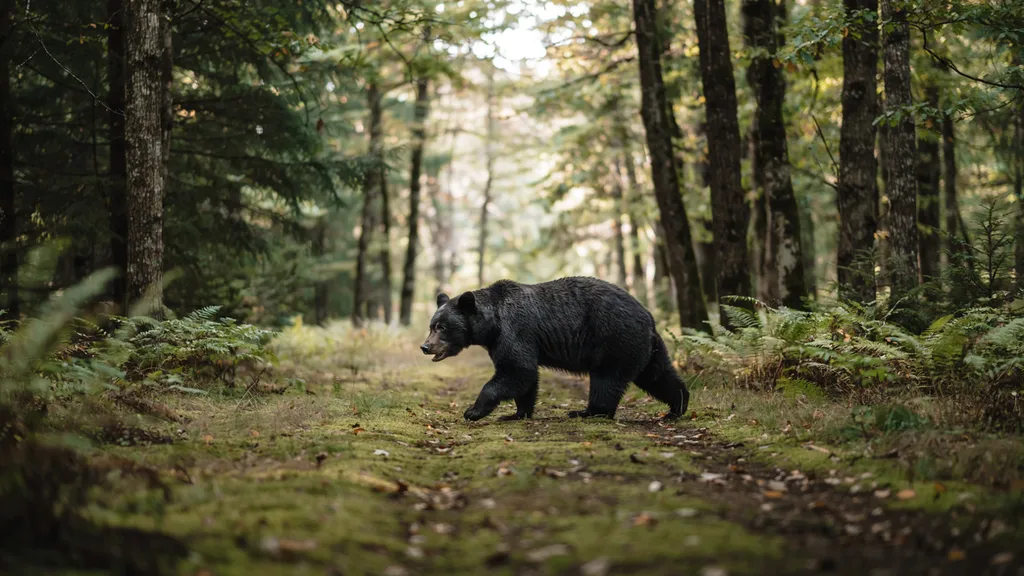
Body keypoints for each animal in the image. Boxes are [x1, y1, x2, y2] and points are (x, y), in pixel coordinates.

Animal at [419, 276, 690, 422]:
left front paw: (473, 411)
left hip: (614, 339)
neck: (491, 325)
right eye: (431, 325)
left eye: (442, 327)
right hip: (645, 348)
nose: (425, 346)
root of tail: (648, 316)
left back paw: (587, 412)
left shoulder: (514, 331)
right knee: (657, 375)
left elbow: (517, 370)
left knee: (606, 380)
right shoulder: (502, 341)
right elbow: (525, 377)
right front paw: (517, 413)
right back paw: (677, 406)